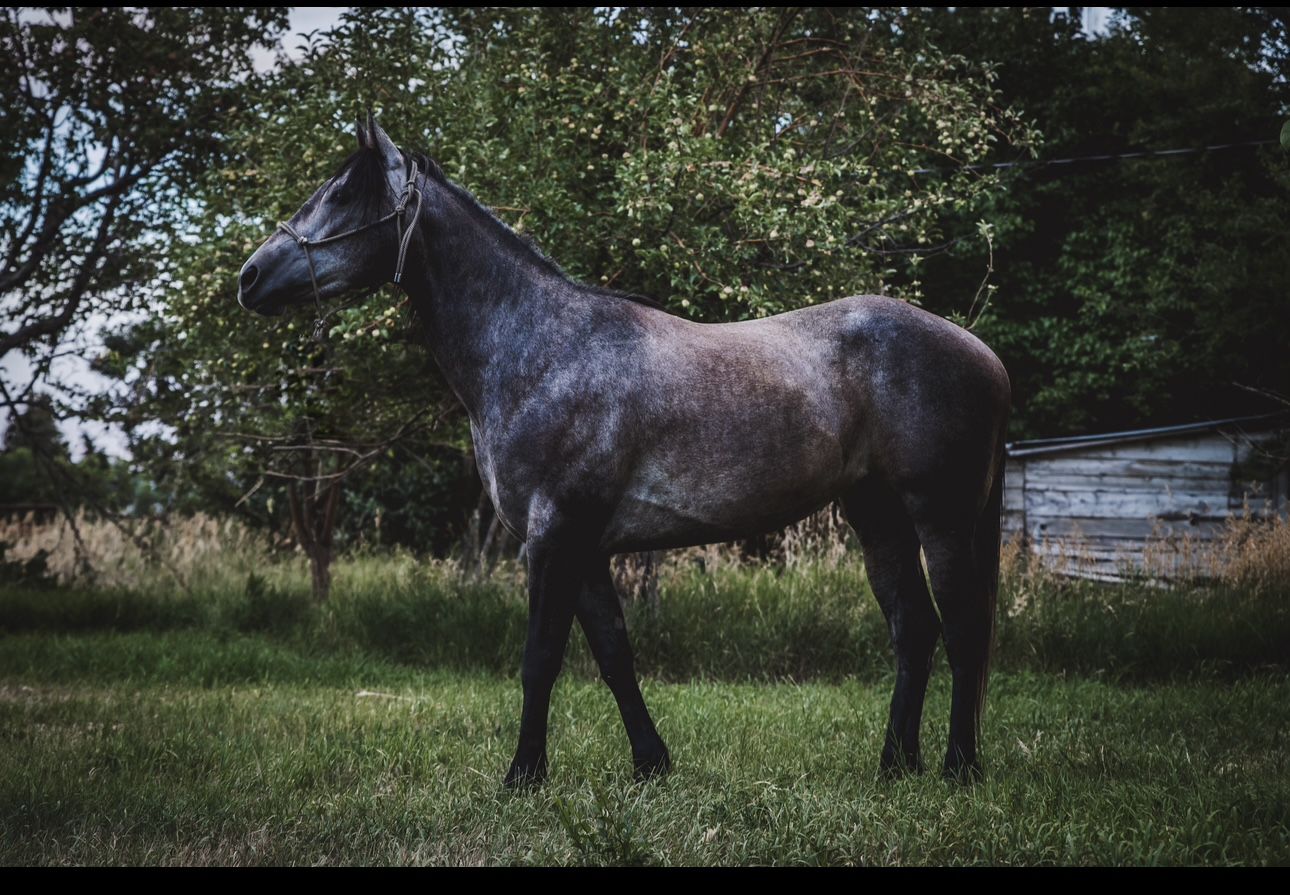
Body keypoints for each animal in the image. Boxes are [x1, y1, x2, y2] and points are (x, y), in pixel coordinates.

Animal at [237, 118, 1011, 786]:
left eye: (342, 193)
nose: (250, 276)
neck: (542, 349)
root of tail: (982, 354)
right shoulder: (585, 547)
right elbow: (613, 654)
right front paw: (651, 764)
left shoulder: (555, 536)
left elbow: (541, 659)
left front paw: (523, 776)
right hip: (876, 515)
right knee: (914, 628)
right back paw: (894, 765)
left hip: (939, 517)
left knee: (964, 628)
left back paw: (958, 768)